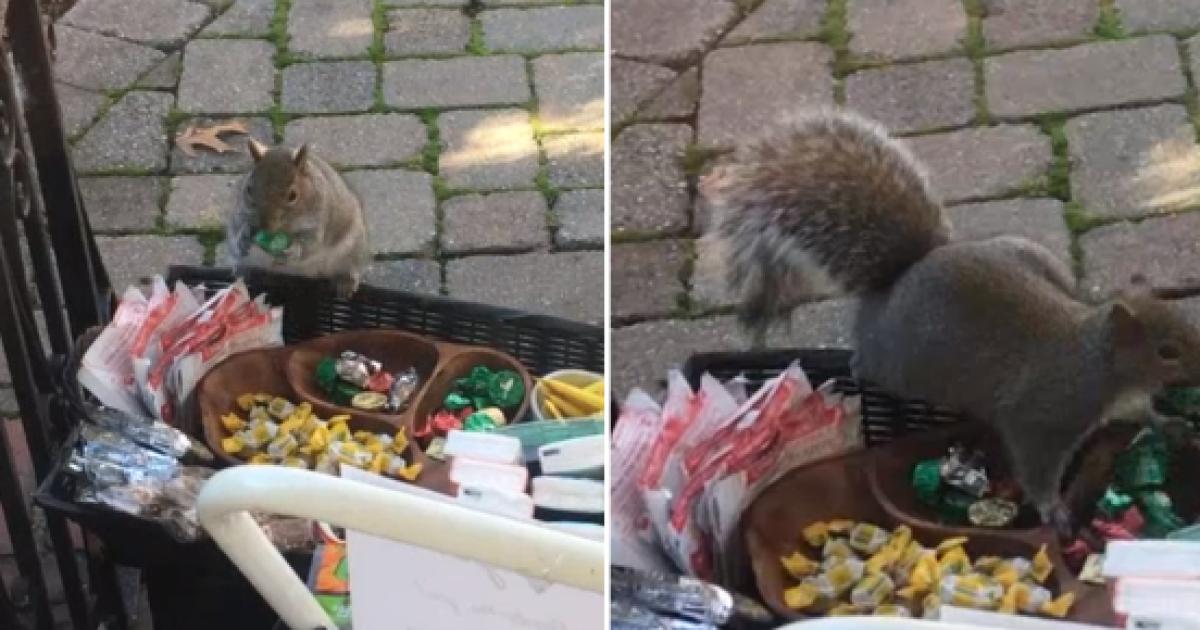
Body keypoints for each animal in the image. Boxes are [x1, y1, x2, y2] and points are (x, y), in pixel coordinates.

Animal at [223, 140, 370, 297]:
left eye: (293, 195)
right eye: (249, 189)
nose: (264, 225)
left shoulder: (319, 221)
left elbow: (310, 243)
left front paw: (293, 250)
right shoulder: (240, 211)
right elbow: (240, 224)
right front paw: (243, 237)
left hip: (352, 251)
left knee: (348, 269)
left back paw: (345, 283)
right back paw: (246, 275)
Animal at [699, 109, 1200, 536]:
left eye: (1186, 323)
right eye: (1167, 351)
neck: (1101, 364)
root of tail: (895, 285)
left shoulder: (1122, 400)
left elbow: (1141, 414)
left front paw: (1169, 422)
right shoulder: (1041, 417)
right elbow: (1036, 465)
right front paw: (1053, 509)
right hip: (901, 365)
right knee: (870, 361)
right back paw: (860, 364)